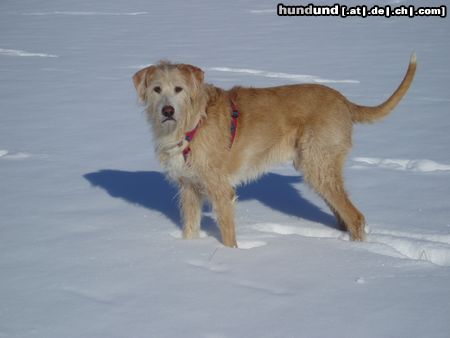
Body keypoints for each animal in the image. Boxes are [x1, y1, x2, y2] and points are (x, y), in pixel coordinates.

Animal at [132, 54, 416, 246]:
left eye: (178, 89)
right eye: (157, 89)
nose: (167, 111)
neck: (193, 121)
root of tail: (344, 101)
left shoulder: (221, 191)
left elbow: (228, 235)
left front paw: (228, 256)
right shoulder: (190, 188)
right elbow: (190, 228)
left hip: (318, 166)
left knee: (356, 217)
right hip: (320, 168)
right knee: (343, 214)